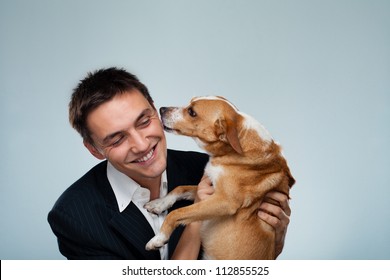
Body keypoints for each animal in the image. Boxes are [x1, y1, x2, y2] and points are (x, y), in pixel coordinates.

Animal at [145, 97, 294, 260]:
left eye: (192, 112)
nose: (162, 109)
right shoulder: (210, 187)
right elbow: (180, 188)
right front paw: (158, 204)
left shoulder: (225, 201)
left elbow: (176, 213)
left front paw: (158, 238)